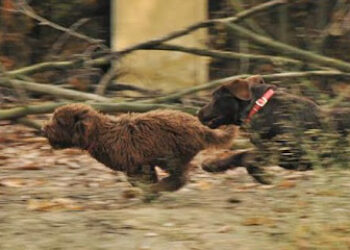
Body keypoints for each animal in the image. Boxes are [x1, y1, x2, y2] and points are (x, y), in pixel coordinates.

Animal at [41, 102, 235, 192]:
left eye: (59, 122)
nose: (44, 128)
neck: (103, 134)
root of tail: (199, 127)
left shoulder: (136, 164)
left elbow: (140, 180)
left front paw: (150, 191)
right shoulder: (142, 163)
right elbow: (142, 179)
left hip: (172, 156)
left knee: (179, 177)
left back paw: (160, 188)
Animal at [198, 75, 348, 183]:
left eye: (215, 97)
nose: (198, 113)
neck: (259, 108)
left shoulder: (293, 153)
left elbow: (248, 156)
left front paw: (263, 177)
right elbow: (239, 155)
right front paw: (212, 164)